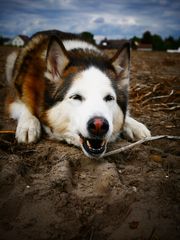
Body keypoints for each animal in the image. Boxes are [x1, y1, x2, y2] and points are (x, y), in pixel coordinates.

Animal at [5, 30, 150, 158]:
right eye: (76, 97)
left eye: (109, 98)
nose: (99, 125)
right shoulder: (15, 97)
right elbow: (26, 105)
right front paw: (28, 124)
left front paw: (134, 125)